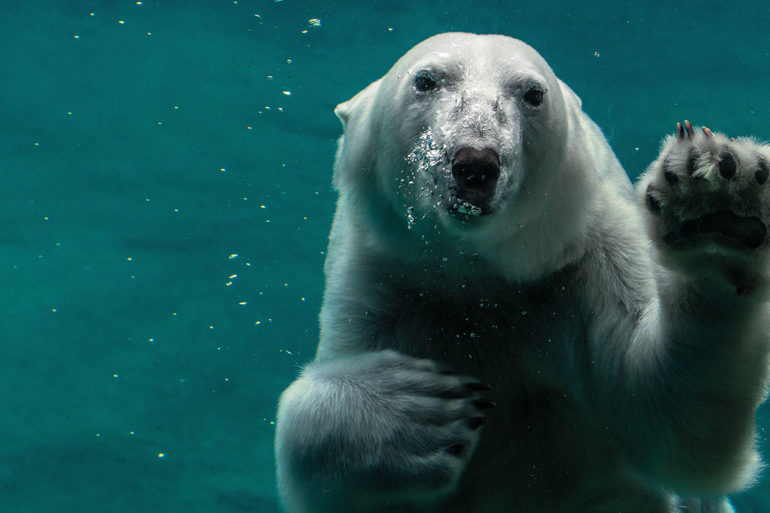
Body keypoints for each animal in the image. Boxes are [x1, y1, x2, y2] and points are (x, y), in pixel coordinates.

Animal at [274, 32, 770, 513]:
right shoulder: (384, 277)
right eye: (426, 80)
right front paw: (418, 410)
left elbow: (665, 416)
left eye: (533, 93)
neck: (478, 272)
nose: (476, 163)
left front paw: (716, 206)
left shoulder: (589, 256)